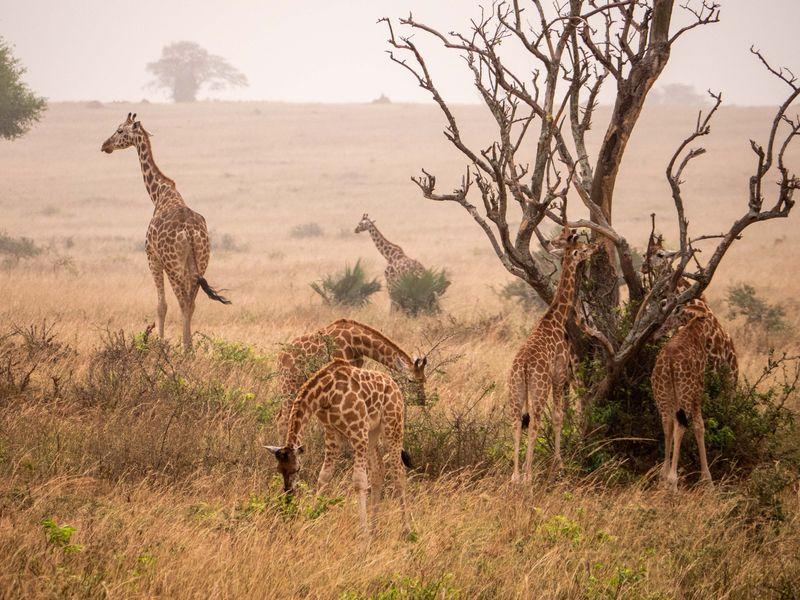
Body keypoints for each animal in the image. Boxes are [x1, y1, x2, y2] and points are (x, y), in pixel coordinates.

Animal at [100, 111, 230, 352]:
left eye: (120, 130)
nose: (105, 145)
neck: (159, 193)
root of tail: (190, 232)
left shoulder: (152, 257)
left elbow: (161, 305)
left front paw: (159, 344)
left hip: (172, 265)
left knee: (182, 301)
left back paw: (186, 348)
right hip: (201, 261)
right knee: (191, 302)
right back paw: (189, 347)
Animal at [266, 358, 410, 536]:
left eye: (297, 469)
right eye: (279, 470)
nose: (288, 495)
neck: (325, 394)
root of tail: (395, 385)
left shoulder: (358, 431)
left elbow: (359, 481)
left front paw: (363, 534)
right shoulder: (331, 433)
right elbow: (324, 477)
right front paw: (310, 521)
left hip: (393, 425)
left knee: (399, 472)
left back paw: (406, 530)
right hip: (373, 432)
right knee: (378, 471)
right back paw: (374, 529)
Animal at [510, 230, 596, 482]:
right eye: (583, 249)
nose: (595, 247)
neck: (555, 318)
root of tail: (524, 367)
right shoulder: (559, 375)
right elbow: (559, 416)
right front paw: (558, 464)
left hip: (515, 391)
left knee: (516, 424)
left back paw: (515, 476)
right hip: (539, 389)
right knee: (535, 423)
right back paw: (528, 476)